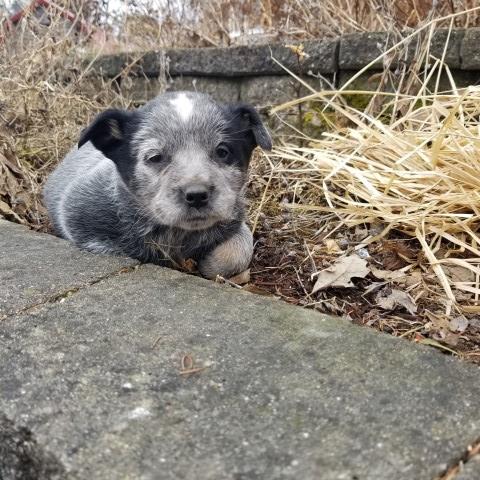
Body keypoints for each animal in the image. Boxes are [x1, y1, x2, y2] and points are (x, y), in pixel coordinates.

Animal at [42, 92, 272, 280]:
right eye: (155, 157)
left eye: (223, 151)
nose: (197, 195)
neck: (177, 235)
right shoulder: (75, 213)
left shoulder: (234, 218)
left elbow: (238, 250)